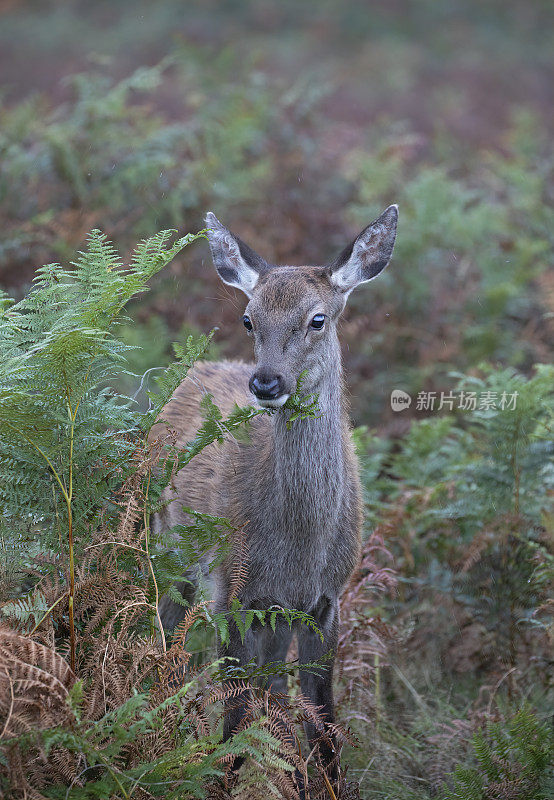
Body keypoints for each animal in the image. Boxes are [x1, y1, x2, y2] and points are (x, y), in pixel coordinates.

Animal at [149, 205, 394, 788]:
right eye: (248, 319)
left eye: (318, 319)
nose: (266, 383)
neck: (299, 547)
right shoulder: (233, 592)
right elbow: (234, 725)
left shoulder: (326, 600)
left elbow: (322, 725)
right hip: (168, 550)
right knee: (164, 647)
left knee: (267, 686)